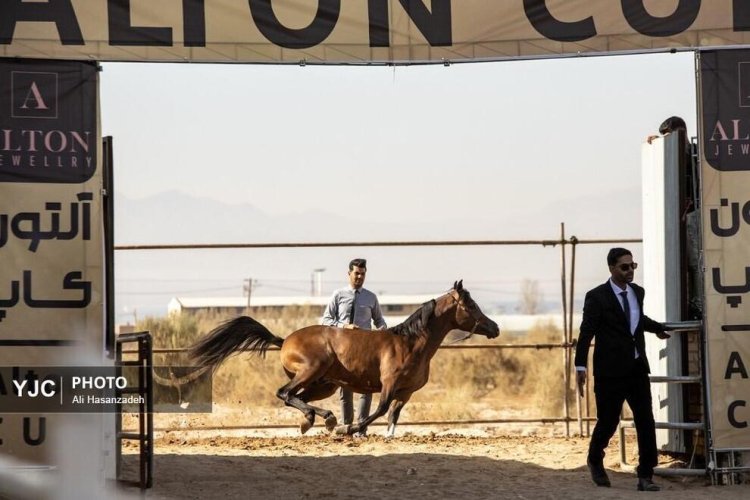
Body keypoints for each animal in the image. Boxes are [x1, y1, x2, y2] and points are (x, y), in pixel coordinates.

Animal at [191, 280, 502, 436]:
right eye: (471, 305)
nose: (495, 327)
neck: (411, 343)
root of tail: (285, 340)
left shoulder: (407, 393)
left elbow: (393, 416)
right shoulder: (388, 385)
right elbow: (379, 411)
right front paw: (348, 427)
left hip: (322, 384)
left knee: (295, 397)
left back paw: (315, 420)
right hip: (312, 371)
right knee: (284, 393)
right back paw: (327, 421)